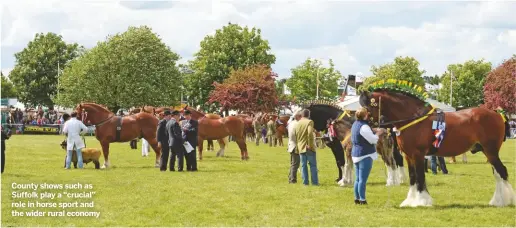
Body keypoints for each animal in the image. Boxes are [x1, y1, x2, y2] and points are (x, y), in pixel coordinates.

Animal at [358, 90, 516, 208]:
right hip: (488, 152)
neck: (413, 120)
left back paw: (505, 201)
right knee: (498, 174)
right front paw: (410, 201)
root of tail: (497, 113)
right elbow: (412, 177)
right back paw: (498, 201)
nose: (362, 122)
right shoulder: (409, 156)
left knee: (502, 172)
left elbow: (420, 177)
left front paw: (422, 201)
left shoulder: (418, 155)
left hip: (491, 151)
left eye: (368, 106)